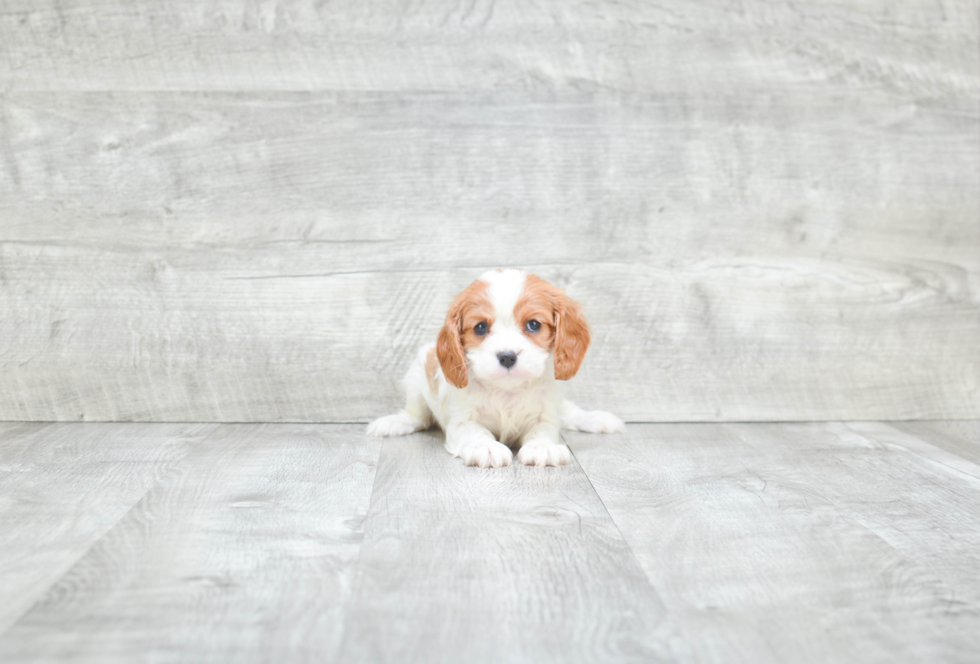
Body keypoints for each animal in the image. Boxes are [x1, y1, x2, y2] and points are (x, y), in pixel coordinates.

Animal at [364, 268, 624, 466]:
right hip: (417, 377)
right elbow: (475, 431)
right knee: (417, 416)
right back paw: (394, 423)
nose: (507, 356)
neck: (507, 389)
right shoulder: (461, 420)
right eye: (480, 327)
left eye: (533, 324)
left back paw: (597, 419)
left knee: (569, 411)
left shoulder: (545, 413)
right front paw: (486, 447)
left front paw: (542, 447)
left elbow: (543, 429)